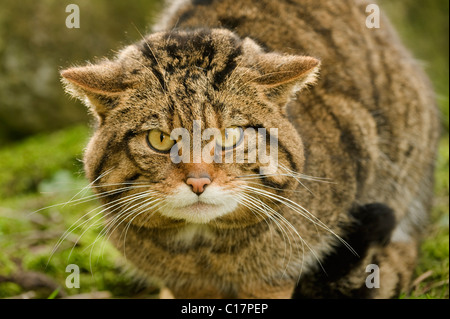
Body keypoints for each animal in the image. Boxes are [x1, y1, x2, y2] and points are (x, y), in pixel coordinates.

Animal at [59, 0, 440, 300]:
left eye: (230, 136)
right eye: (160, 139)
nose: (198, 182)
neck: (204, 250)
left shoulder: (278, 274)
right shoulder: (186, 282)